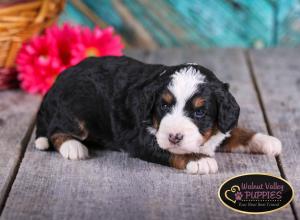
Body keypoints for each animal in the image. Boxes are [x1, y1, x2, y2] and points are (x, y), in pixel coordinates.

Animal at [34, 55, 282, 174]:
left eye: (200, 112)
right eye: (164, 106)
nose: (175, 136)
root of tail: (57, 80)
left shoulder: (220, 125)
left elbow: (235, 132)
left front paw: (266, 140)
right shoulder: (140, 139)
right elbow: (171, 151)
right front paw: (199, 160)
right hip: (76, 111)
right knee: (56, 130)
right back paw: (73, 147)